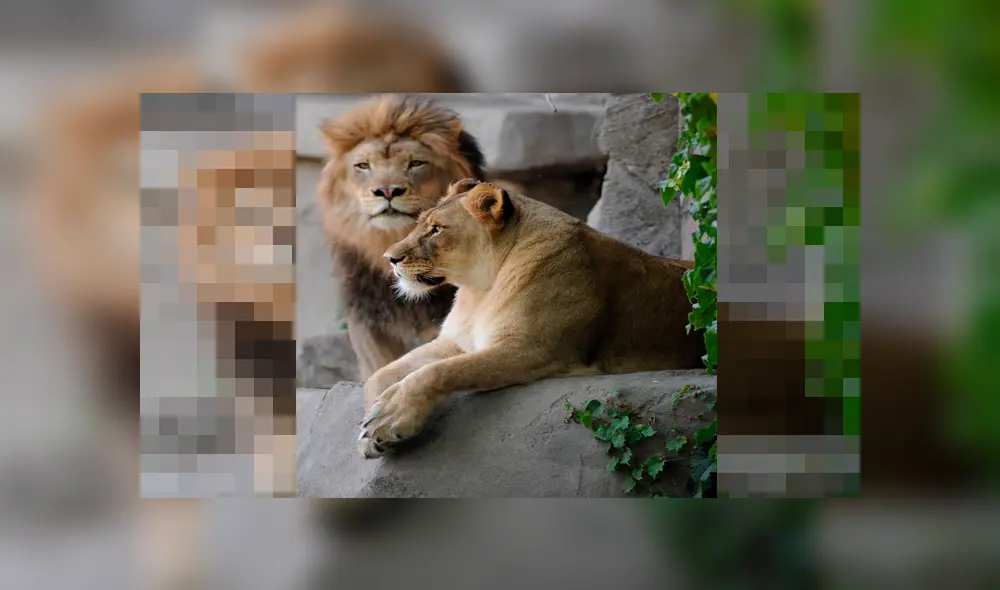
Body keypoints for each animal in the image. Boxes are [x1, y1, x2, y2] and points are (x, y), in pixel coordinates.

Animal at [315, 94, 488, 380]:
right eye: (363, 165)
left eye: (416, 163)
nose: (387, 191)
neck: (391, 239)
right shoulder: (367, 319)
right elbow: (379, 367)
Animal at [357, 179, 705, 458]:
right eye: (420, 224)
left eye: (437, 229)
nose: (389, 259)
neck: (480, 289)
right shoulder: (456, 342)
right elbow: (383, 373)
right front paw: (371, 427)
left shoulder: (533, 349)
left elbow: (437, 372)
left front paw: (388, 419)